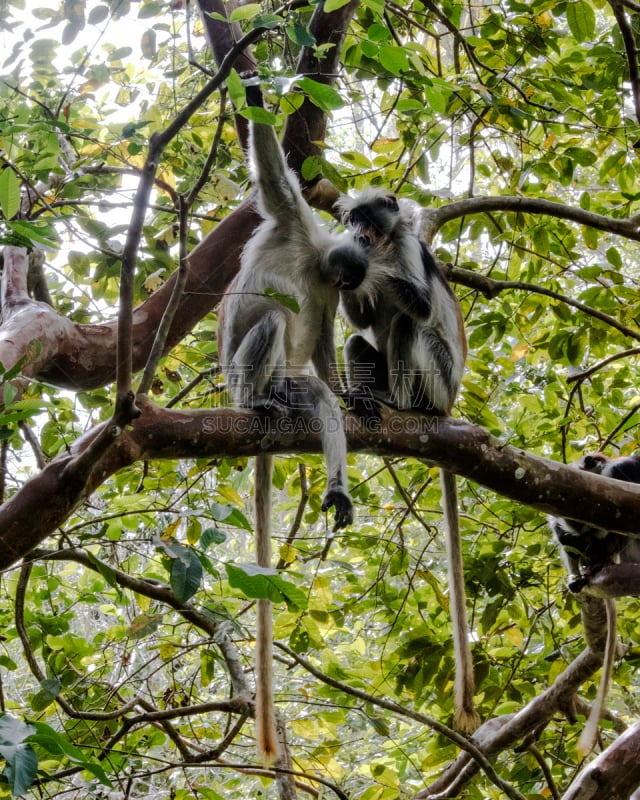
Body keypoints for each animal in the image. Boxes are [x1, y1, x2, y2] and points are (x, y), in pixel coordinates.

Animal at [338, 191, 478, 736]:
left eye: (368, 220)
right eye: (353, 218)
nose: (358, 232)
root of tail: (448, 404)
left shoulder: (409, 251)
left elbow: (417, 302)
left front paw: (366, 260)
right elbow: (359, 320)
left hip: (437, 375)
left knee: (407, 322)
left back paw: (399, 402)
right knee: (358, 342)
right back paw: (365, 397)